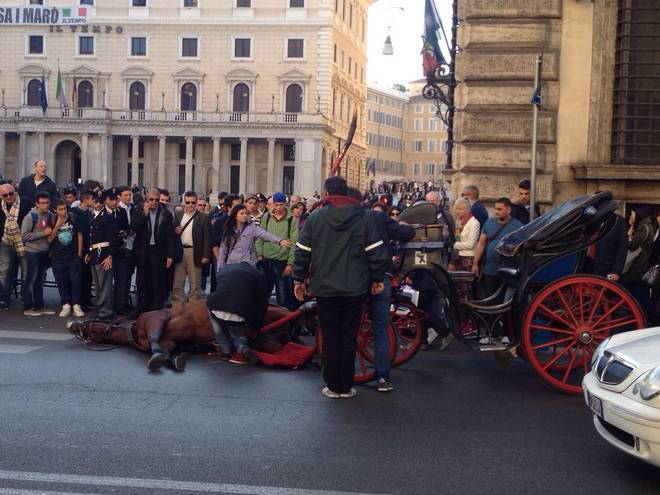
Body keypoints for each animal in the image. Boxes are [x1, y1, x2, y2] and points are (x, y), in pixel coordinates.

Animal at [67, 302, 314, 372]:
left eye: (94, 321)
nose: (73, 325)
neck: (135, 329)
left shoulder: (155, 319)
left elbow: (156, 344)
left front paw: (161, 359)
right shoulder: (168, 342)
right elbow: (166, 352)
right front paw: (176, 359)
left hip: (271, 314)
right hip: (270, 342)